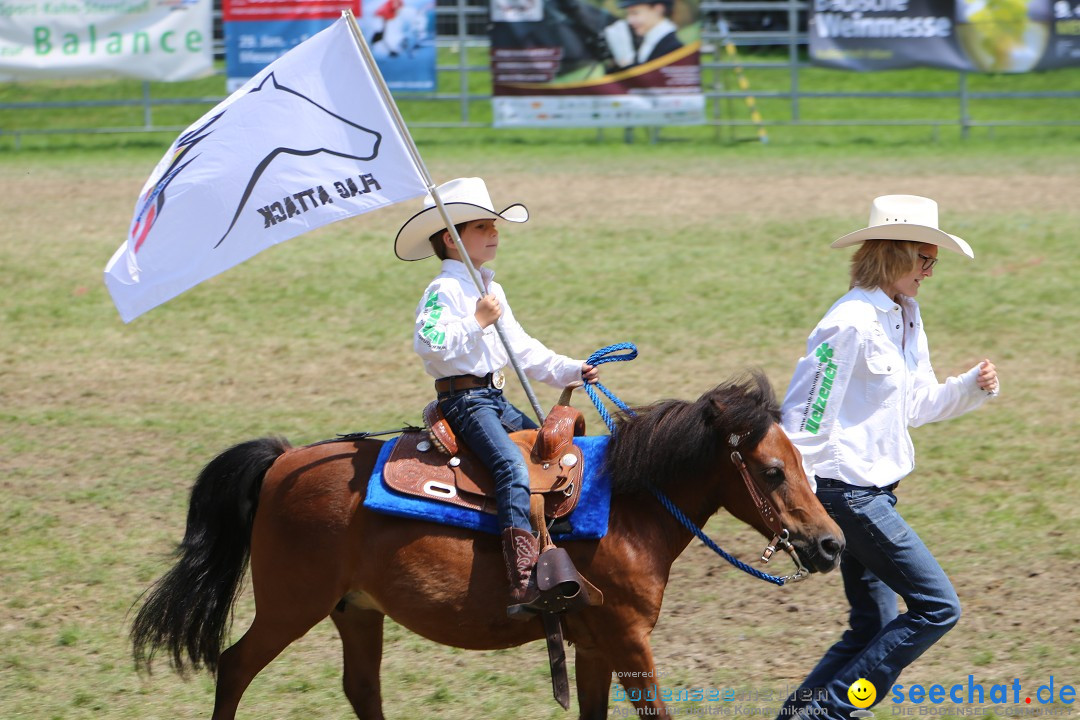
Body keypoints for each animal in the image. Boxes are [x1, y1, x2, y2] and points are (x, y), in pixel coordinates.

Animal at [130, 371, 842, 720]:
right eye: (772, 471)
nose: (831, 544)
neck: (627, 506)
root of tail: (282, 460)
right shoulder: (629, 638)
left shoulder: (594, 643)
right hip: (290, 606)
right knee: (234, 667)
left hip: (356, 611)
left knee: (362, 690)